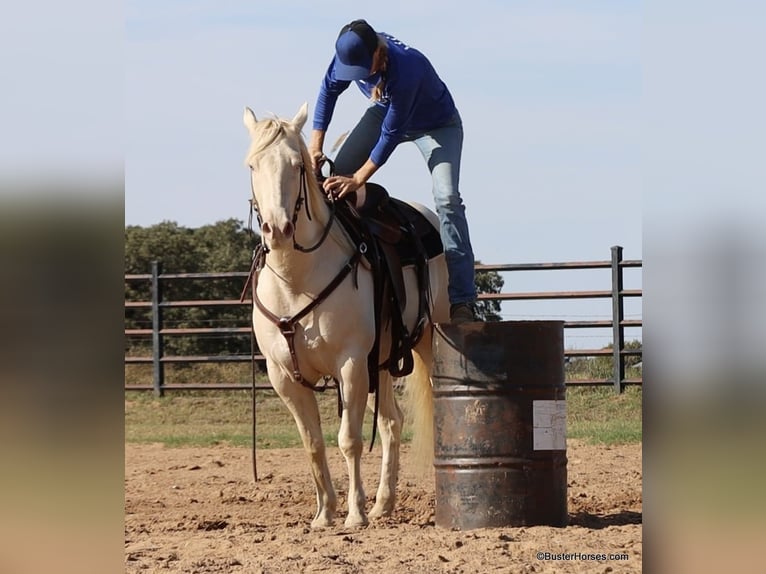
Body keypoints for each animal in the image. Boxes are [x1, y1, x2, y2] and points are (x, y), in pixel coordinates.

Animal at [243, 101, 450, 528]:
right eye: (253, 165)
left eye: (297, 166)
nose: (277, 230)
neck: (296, 279)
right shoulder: (283, 376)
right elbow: (313, 443)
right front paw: (325, 513)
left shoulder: (351, 364)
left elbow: (349, 440)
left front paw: (354, 514)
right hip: (383, 363)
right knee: (390, 423)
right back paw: (384, 504)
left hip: (426, 343)